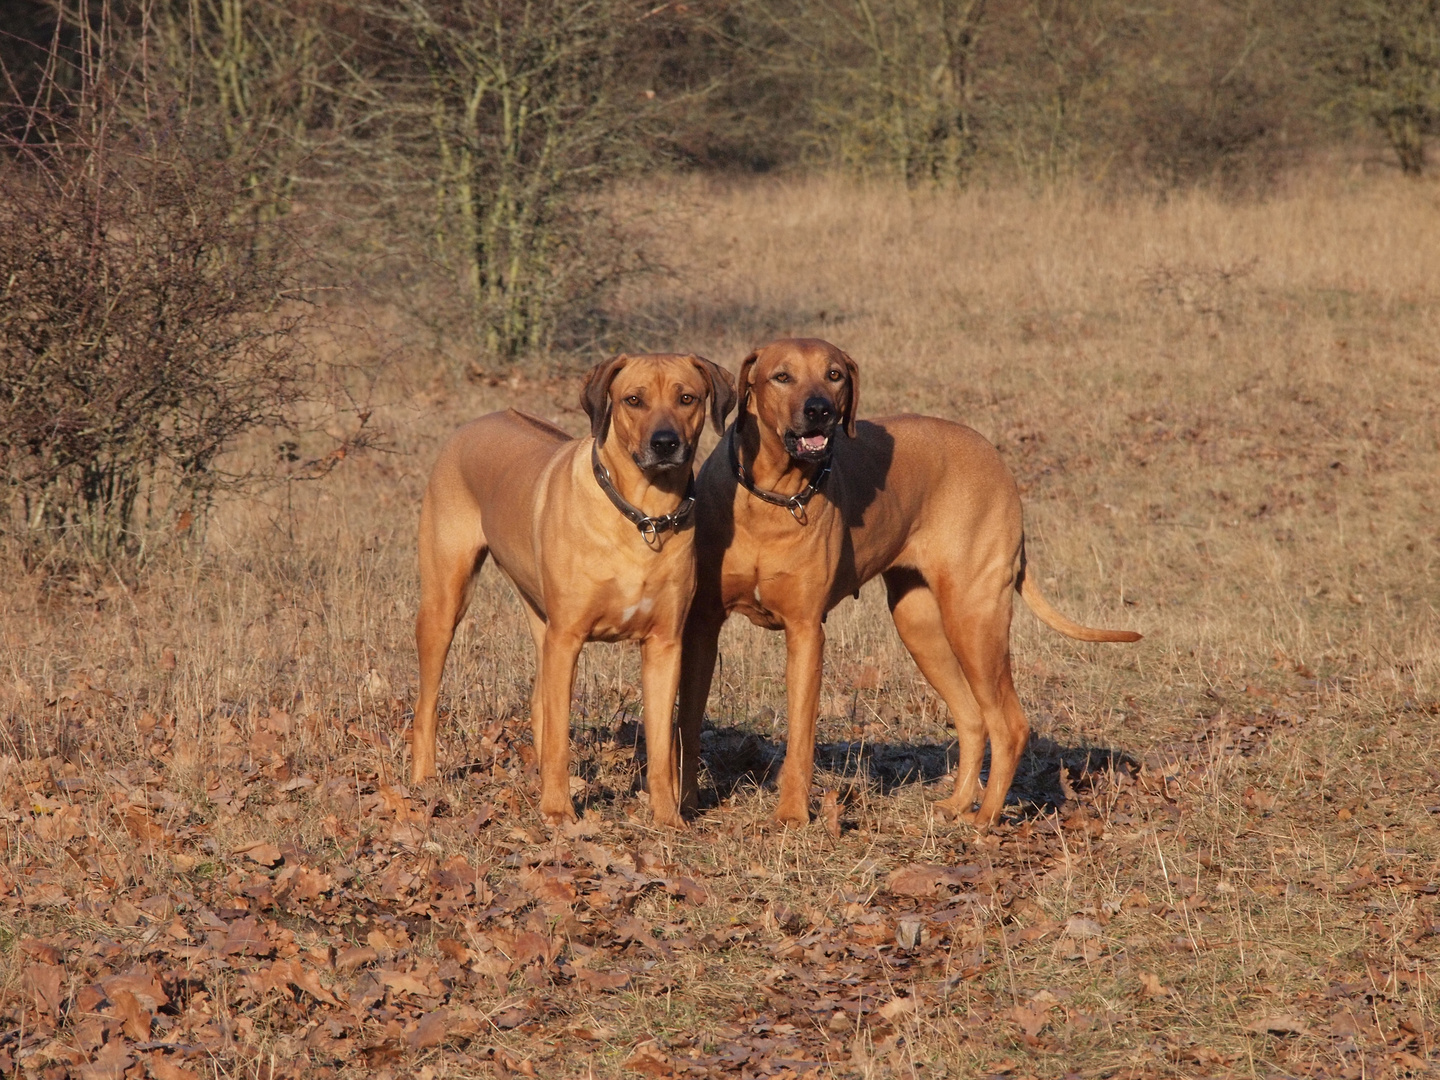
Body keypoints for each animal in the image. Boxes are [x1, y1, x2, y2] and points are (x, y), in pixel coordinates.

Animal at [414, 355, 731, 829]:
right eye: (633, 400)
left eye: (687, 398)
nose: (665, 443)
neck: (644, 517)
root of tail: (474, 423)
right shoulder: (568, 639)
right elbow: (560, 740)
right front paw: (559, 811)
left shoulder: (665, 645)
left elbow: (661, 747)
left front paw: (667, 817)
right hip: (444, 602)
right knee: (428, 704)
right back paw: (423, 781)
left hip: (539, 616)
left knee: (538, 700)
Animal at [673, 338, 1134, 829]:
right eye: (782, 377)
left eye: (834, 375)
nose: (819, 410)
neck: (774, 496)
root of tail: (997, 459)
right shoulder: (703, 625)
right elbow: (689, 723)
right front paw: (687, 803)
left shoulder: (805, 631)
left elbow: (800, 737)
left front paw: (792, 815)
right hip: (919, 624)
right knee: (972, 718)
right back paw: (957, 803)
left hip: (974, 617)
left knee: (1009, 724)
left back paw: (985, 817)